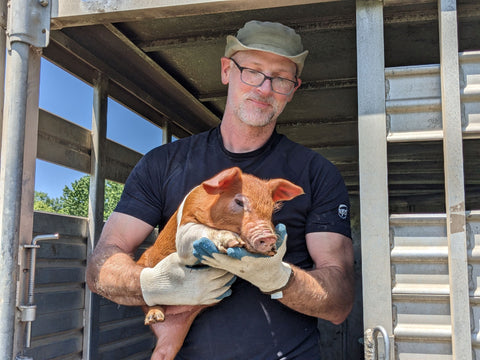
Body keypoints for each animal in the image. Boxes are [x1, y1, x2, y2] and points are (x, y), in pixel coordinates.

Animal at [135, 167, 302, 358]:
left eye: (272, 209)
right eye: (239, 202)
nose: (268, 237)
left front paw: (271, 252)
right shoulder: (184, 232)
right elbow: (197, 233)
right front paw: (233, 241)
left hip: (175, 334)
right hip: (144, 269)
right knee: (149, 302)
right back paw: (154, 317)